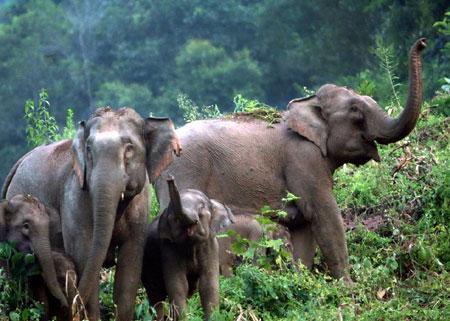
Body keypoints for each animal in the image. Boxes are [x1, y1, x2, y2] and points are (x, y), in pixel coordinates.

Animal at [2, 107, 181, 318]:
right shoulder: (75, 196)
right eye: (89, 150)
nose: (72, 307)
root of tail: (19, 161)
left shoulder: (140, 205)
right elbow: (85, 256)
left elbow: (130, 264)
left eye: (129, 148)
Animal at [142, 176, 234, 318]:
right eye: (174, 218)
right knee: (156, 294)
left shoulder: (211, 246)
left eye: (201, 208)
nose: (170, 178)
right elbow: (178, 285)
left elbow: (208, 284)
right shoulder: (168, 249)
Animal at [156, 38, 428, 282]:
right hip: (185, 173)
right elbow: (324, 215)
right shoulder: (304, 160)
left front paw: (303, 279)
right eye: (355, 111)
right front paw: (348, 289)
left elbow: (304, 227)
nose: (422, 42)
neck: (306, 106)